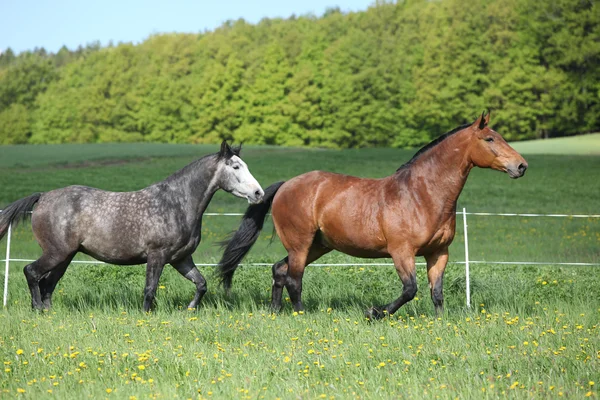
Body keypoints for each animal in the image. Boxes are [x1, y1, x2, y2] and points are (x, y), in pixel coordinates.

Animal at [0, 142, 262, 310]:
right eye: (236, 167)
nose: (258, 193)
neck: (176, 203)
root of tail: (43, 196)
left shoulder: (181, 259)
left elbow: (201, 284)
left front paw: (190, 308)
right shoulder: (157, 256)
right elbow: (150, 290)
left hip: (65, 256)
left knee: (47, 284)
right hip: (56, 253)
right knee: (32, 272)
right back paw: (36, 310)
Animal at [218, 112, 528, 318]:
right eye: (490, 138)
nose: (522, 166)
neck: (421, 194)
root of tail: (286, 185)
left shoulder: (438, 253)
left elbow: (436, 292)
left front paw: (440, 323)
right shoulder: (401, 252)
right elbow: (410, 289)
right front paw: (374, 312)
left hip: (318, 246)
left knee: (279, 271)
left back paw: (275, 311)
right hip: (300, 244)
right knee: (294, 279)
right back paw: (301, 314)